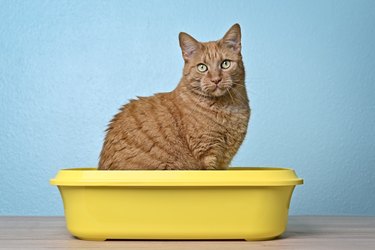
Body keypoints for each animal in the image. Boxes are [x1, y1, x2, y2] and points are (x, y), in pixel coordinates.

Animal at [100, 23, 251, 170]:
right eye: (202, 67)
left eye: (225, 64)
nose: (216, 80)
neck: (227, 108)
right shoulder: (206, 153)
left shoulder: (223, 161)